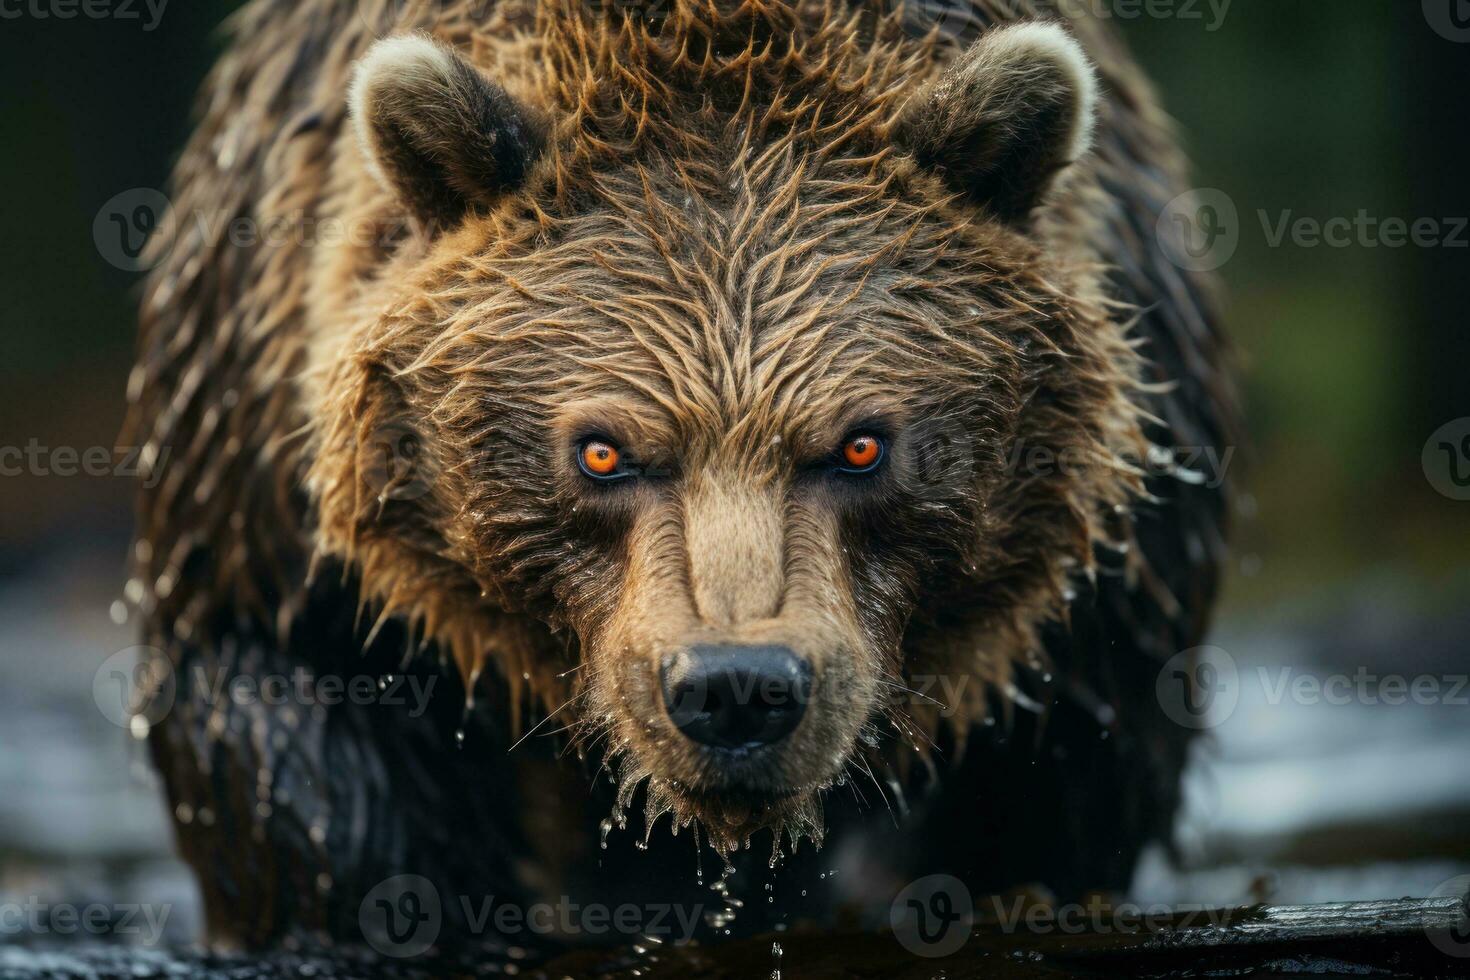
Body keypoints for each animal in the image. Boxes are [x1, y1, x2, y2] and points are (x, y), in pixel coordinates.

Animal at [126, 0, 1234, 957]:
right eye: (601, 450)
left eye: (863, 444)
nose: (737, 687)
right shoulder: (271, 507)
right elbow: (307, 761)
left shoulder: (1095, 608)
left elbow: (1048, 796)